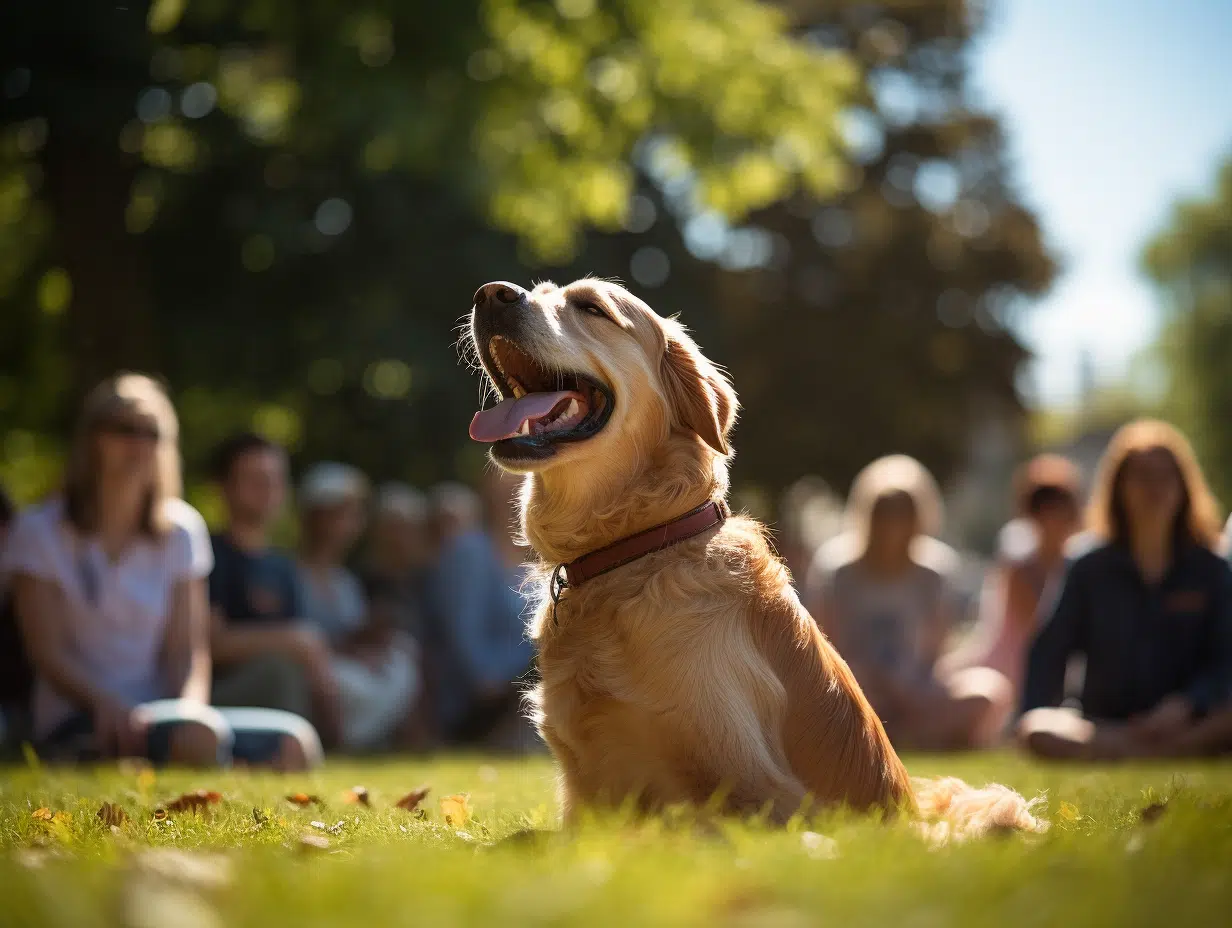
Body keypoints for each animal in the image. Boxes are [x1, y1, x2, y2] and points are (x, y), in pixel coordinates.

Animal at [465, 277, 1044, 838]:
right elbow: (528, 837)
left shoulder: (764, 796)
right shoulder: (585, 799)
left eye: (591, 307)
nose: (491, 294)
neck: (636, 551)